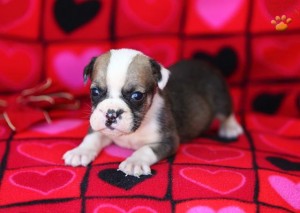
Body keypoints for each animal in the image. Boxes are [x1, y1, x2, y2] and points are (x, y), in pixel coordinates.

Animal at [63, 48, 244, 176]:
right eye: (95, 92)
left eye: (137, 96)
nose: (111, 113)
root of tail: (205, 65)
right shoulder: (102, 129)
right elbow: (92, 137)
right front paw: (80, 151)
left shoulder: (168, 141)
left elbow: (146, 149)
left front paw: (134, 161)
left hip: (220, 97)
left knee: (227, 113)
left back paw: (230, 128)